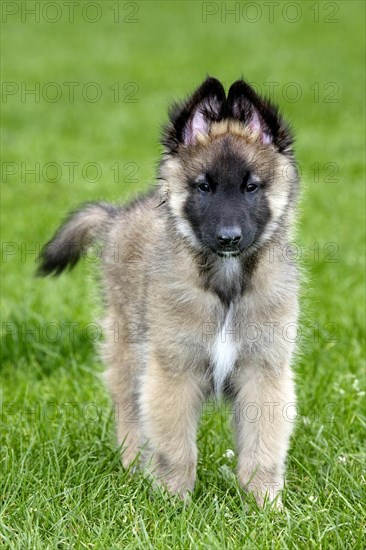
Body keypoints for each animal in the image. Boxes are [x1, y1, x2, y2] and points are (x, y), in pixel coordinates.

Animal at [38, 77, 300, 508]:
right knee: (129, 413)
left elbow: (262, 450)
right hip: (128, 351)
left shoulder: (264, 371)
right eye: (204, 187)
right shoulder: (172, 371)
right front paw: (173, 505)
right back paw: (132, 469)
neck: (225, 285)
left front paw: (265, 508)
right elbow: (176, 449)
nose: (229, 238)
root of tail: (118, 216)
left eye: (251, 187)